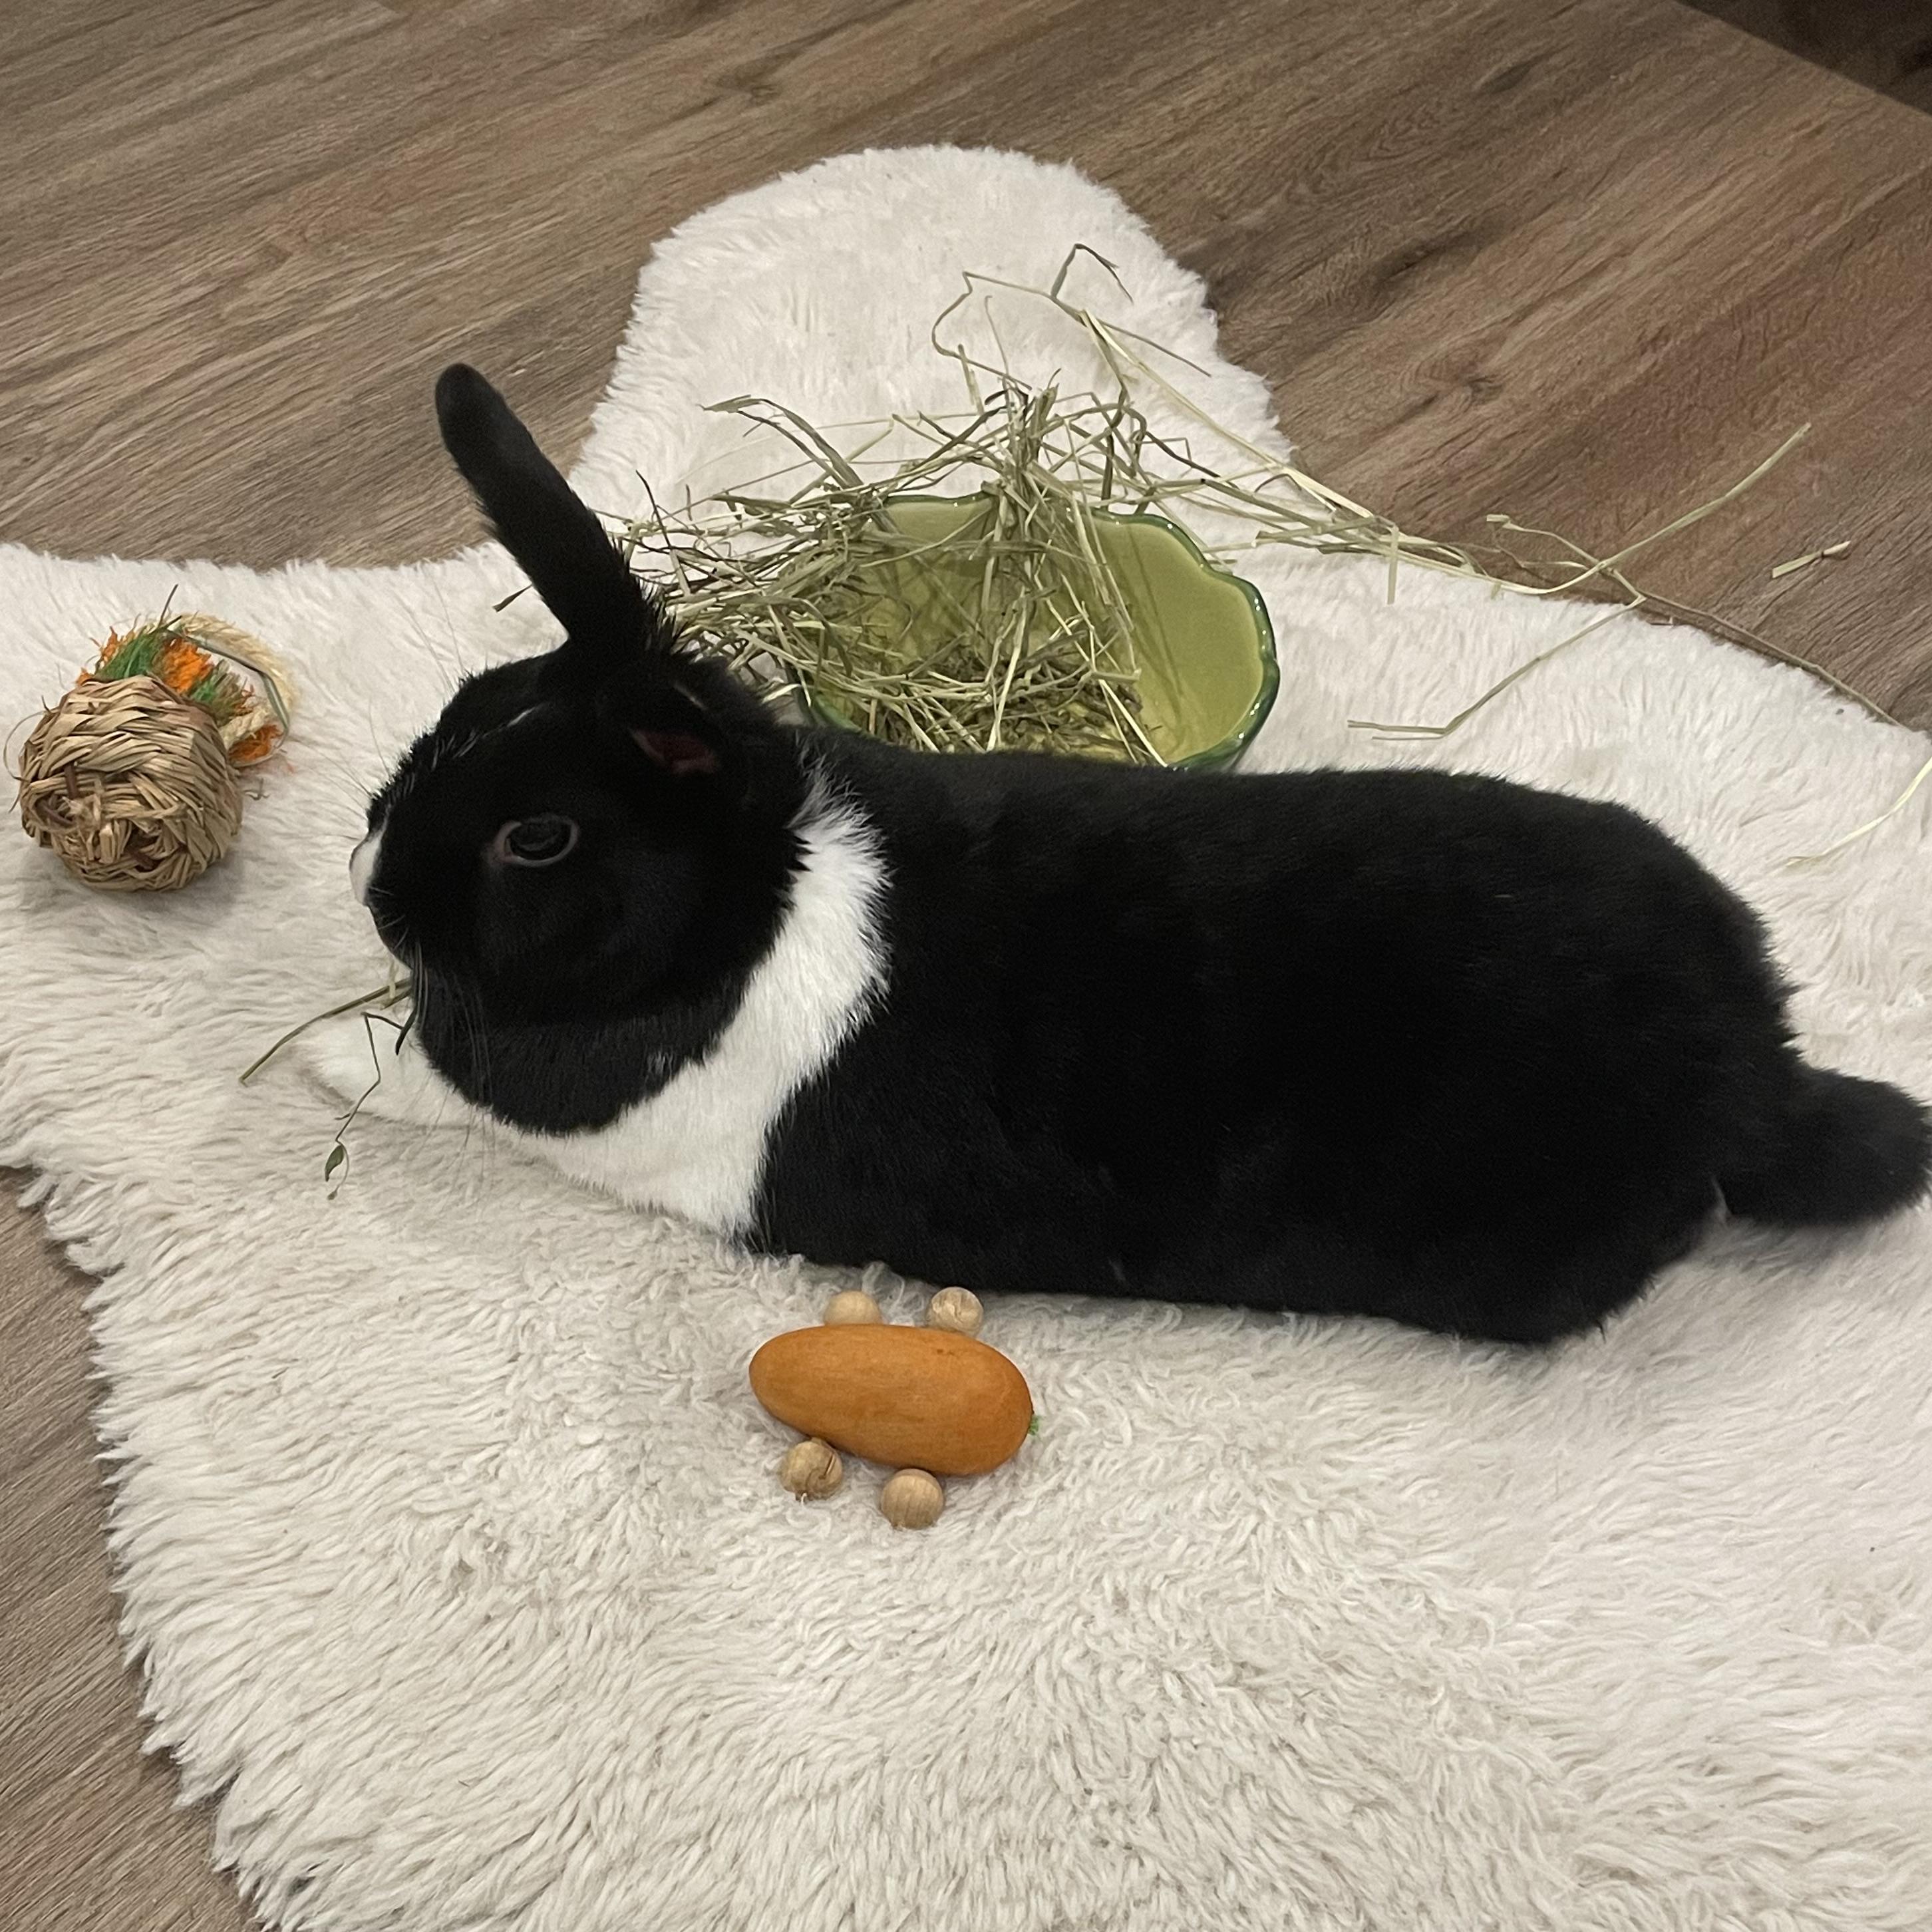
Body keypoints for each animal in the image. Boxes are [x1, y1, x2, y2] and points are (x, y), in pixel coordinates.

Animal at [303, 365, 1931, 1344]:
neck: (750, 899)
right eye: (468, 706)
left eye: (537, 837)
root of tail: (1753, 1077)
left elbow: (429, 1083)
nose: (369, 881)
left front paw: (321, 1063)